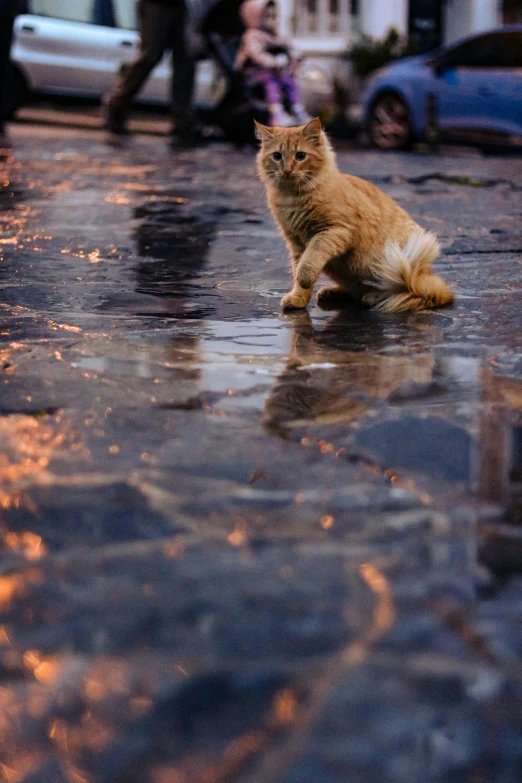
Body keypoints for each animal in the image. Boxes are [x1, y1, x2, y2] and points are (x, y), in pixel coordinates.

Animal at [255, 116, 450, 312]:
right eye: (277, 156)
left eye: (300, 156)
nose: (287, 170)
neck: (292, 198)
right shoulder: (296, 243)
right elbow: (299, 271)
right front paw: (298, 298)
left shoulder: (334, 231)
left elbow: (309, 262)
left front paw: (304, 280)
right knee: (355, 290)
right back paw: (332, 293)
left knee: (390, 288)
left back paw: (372, 297)